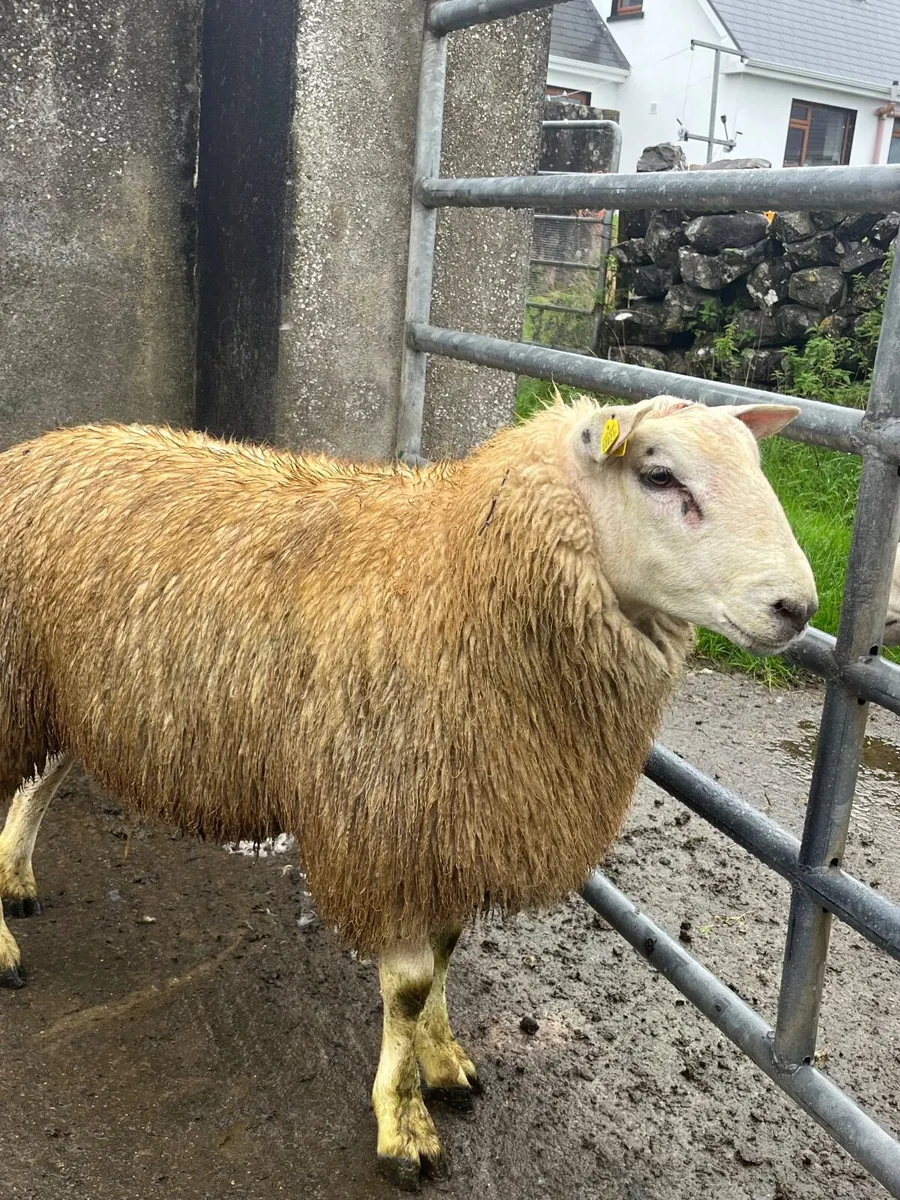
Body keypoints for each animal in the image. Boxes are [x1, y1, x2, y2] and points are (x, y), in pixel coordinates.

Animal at [0, 395, 817, 1189]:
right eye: (659, 476)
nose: (798, 609)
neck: (462, 571)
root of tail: (37, 446)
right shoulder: (388, 824)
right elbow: (411, 988)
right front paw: (403, 1127)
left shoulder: (454, 821)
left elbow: (447, 957)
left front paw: (443, 1063)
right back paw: (5, 948)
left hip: (59, 697)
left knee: (39, 784)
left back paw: (15, 879)